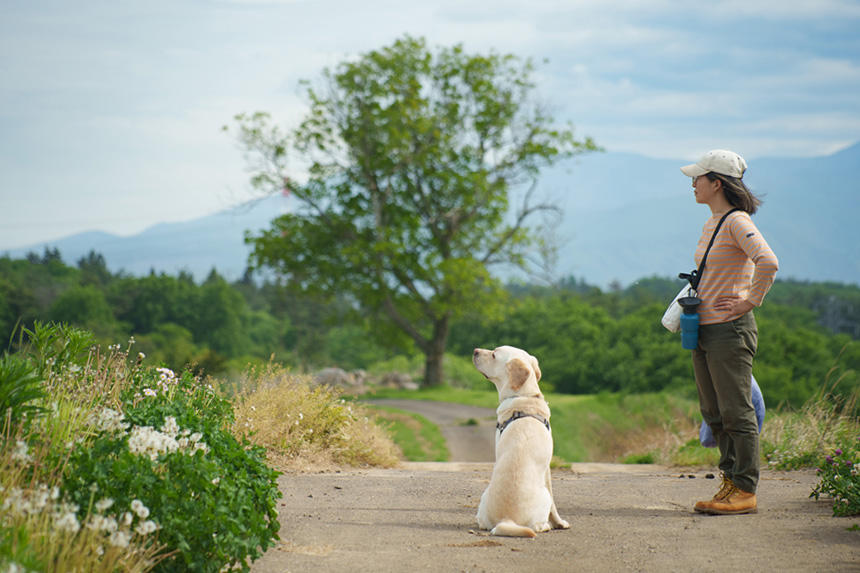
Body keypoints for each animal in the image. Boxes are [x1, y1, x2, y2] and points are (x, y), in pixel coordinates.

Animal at [470, 344, 572, 536]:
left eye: (494, 354)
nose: (475, 350)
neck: (524, 396)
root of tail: (506, 519)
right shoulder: (547, 471)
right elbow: (554, 507)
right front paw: (559, 523)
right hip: (544, 494)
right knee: (537, 523)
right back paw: (546, 525)